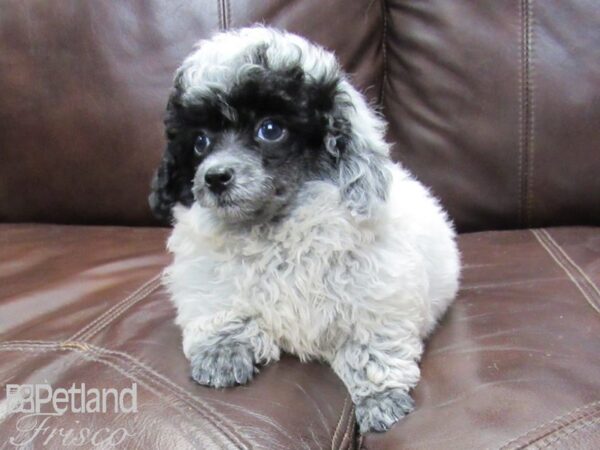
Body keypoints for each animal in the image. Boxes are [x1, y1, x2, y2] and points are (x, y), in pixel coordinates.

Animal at [150, 26, 460, 434]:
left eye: (270, 129)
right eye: (200, 141)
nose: (214, 178)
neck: (273, 227)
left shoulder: (377, 294)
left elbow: (371, 348)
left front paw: (380, 400)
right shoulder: (206, 275)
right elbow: (219, 306)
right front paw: (222, 352)